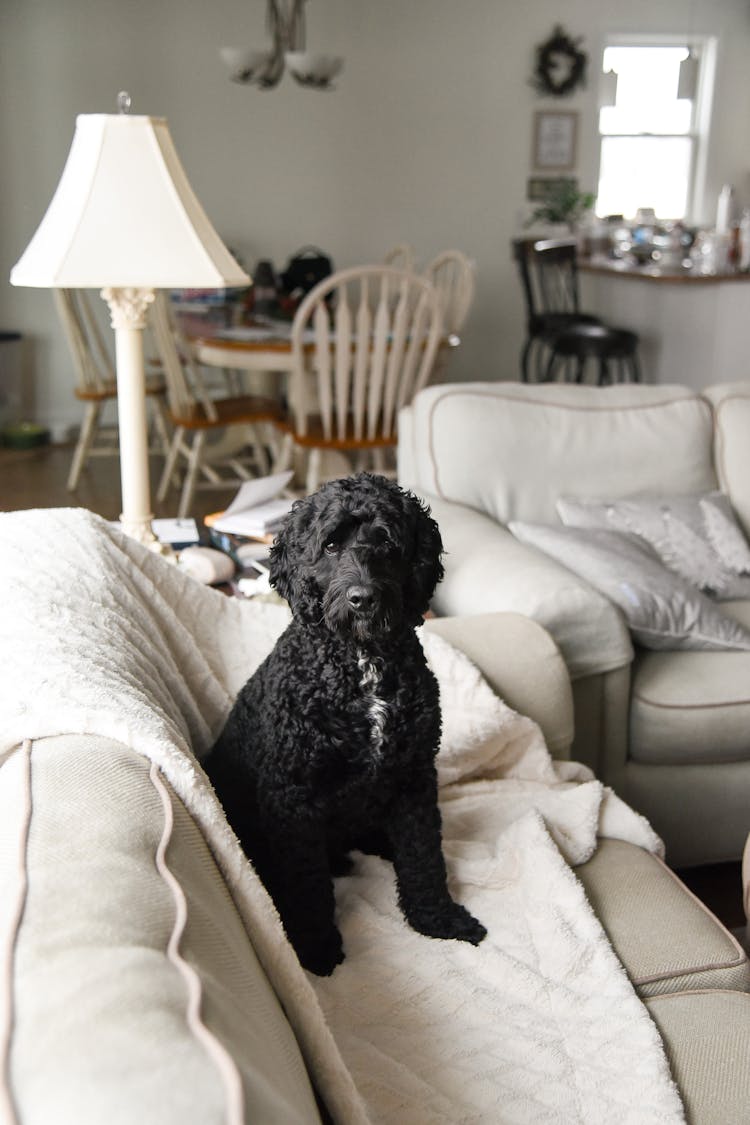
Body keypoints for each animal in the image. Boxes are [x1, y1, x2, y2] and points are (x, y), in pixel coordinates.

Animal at [205, 474, 488, 976]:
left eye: (388, 544)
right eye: (331, 544)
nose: (363, 599)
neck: (361, 663)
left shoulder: (414, 778)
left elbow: (424, 856)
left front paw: (436, 917)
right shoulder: (293, 799)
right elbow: (308, 885)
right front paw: (314, 947)